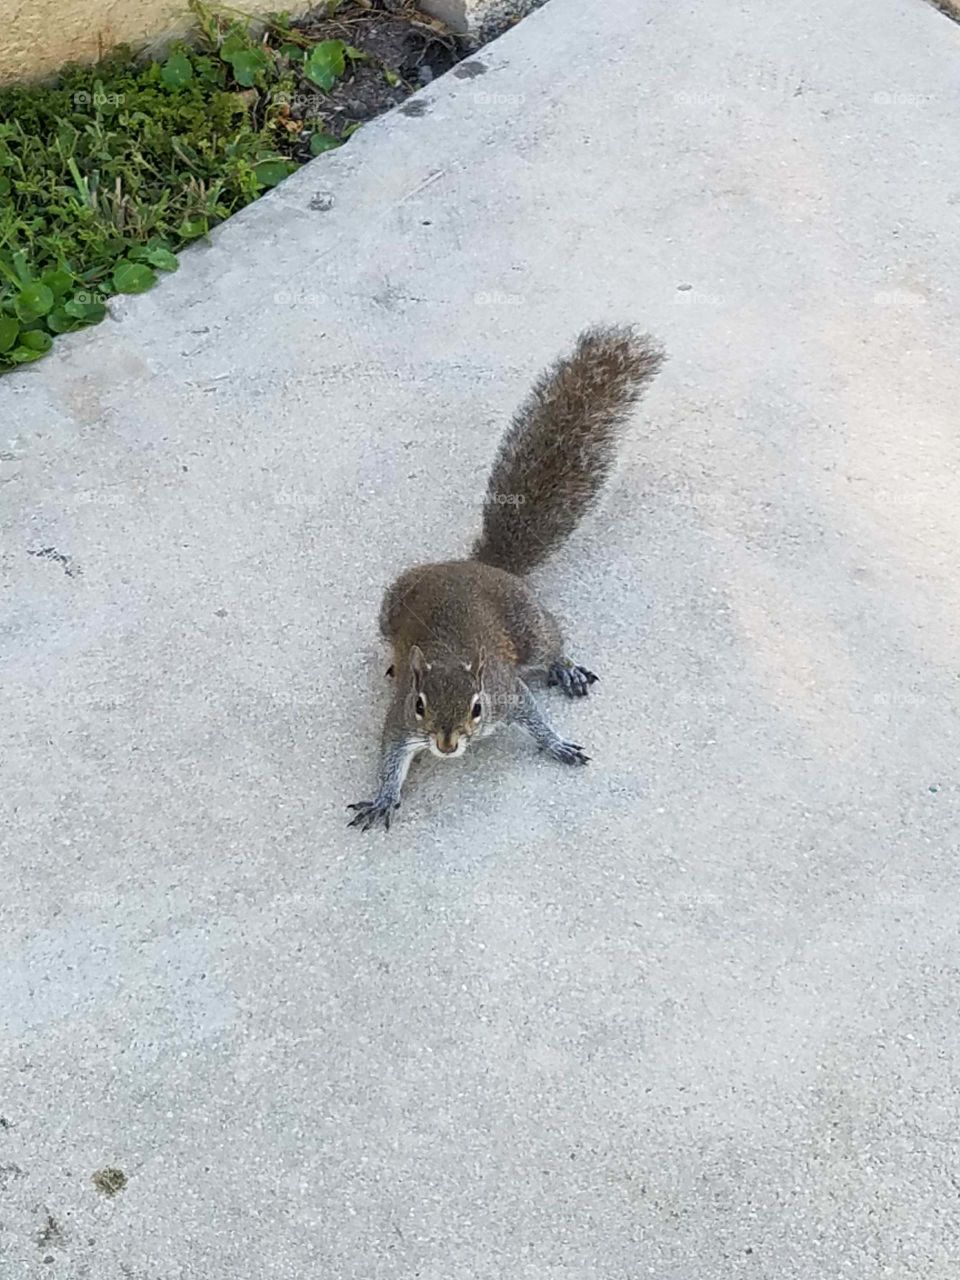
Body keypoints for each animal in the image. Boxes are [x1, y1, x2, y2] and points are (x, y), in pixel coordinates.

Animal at [348, 324, 666, 832]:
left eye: (477, 707)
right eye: (420, 705)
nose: (446, 745)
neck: (449, 656)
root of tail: (482, 566)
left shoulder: (506, 692)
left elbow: (533, 715)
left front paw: (557, 744)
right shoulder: (398, 721)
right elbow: (391, 757)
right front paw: (382, 797)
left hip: (526, 622)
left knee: (551, 640)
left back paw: (564, 667)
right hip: (391, 605)